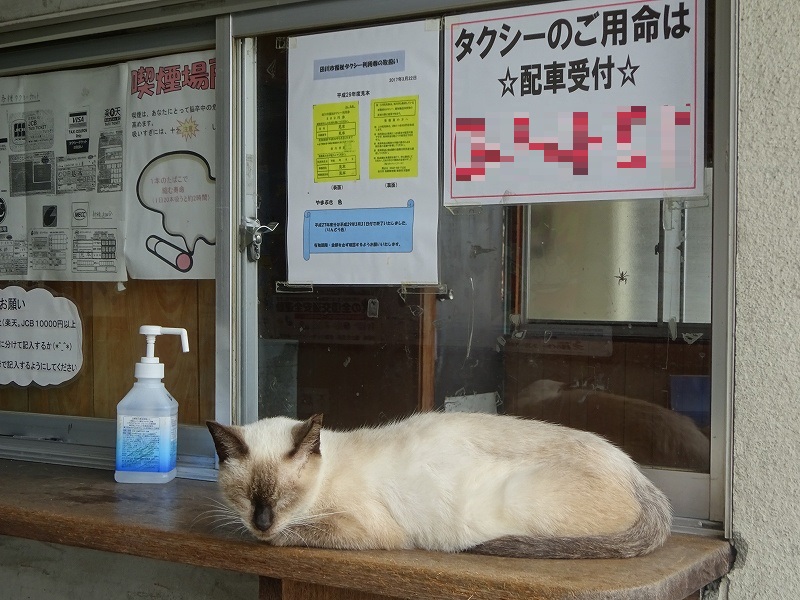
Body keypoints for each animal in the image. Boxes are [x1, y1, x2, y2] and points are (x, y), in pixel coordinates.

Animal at [206, 412, 668, 556]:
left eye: (285, 497)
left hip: (517, 499)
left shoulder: (369, 529)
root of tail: (636, 472)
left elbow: (298, 532)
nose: (262, 522)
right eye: (245, 497)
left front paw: (271, 537)